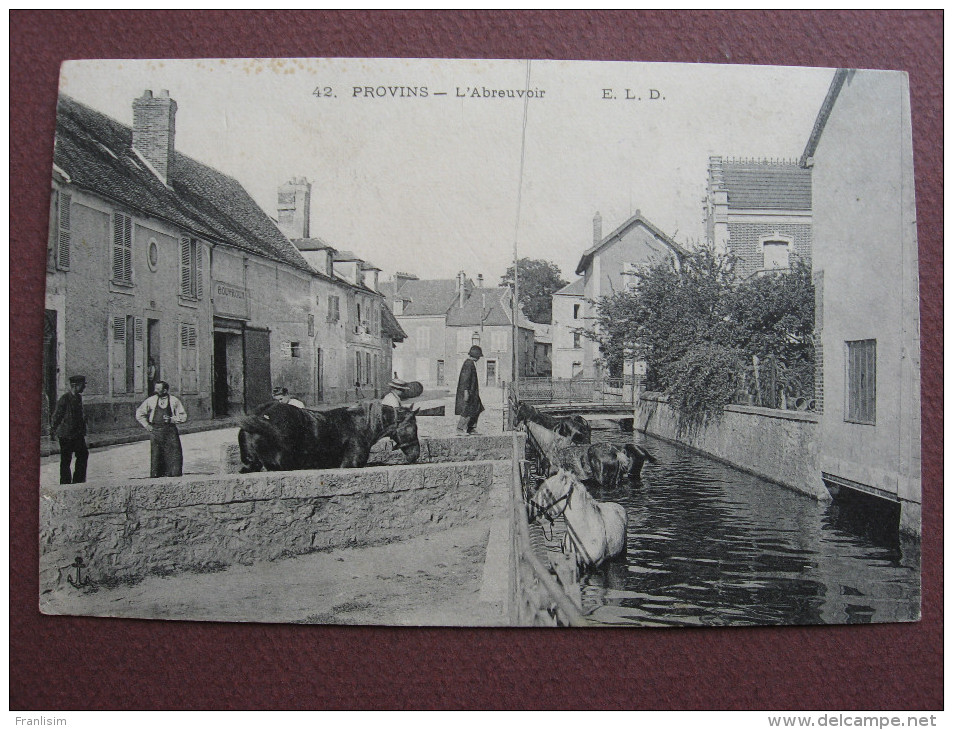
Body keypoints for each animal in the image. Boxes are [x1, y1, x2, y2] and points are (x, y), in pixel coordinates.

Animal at [236, 398, 418, 472]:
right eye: (413, 427)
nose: (415, 454)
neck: (359, 424)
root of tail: (260, 415)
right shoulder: (350, 464)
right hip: (280, 465)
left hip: (252, 463)